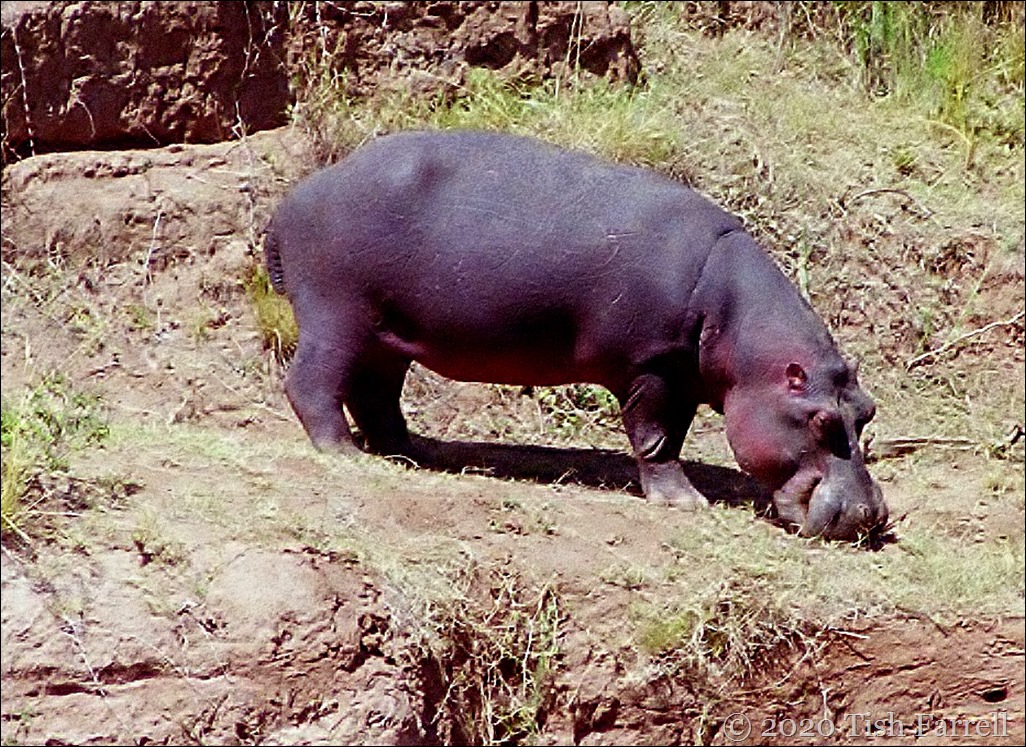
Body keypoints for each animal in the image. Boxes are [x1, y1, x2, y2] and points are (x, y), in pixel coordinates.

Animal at [264, 131, 888, 541]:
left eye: (867, 410)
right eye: (821, 421)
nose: (869, 517)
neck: (740, 330)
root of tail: (295, 196)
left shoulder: (684, 375)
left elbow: (670, 435)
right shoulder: (653, 366)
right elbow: (657, 437)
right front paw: (685, 502)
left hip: (387, 335)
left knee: (376, 396)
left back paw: (411, 454)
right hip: (336, 318)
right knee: (313, 384)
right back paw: (343, 453)